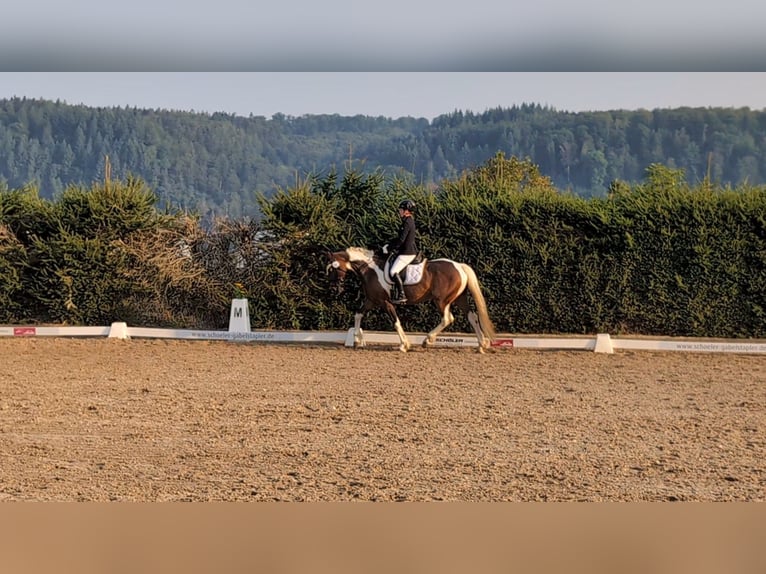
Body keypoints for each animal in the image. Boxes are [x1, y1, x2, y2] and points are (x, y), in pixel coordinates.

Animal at [325, 247, 496, 353]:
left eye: (333, 268)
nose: (332, 289)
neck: (369, 270)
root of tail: (459, 266)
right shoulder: (371, 300)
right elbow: (358, 314)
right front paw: (356, 341)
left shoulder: (385, 302)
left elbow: (395, 322)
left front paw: (404, 345)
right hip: (459, 298)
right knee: (472, 317)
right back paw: (482, 345)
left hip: (441, 300)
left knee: (447, 318)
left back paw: (428, 340)